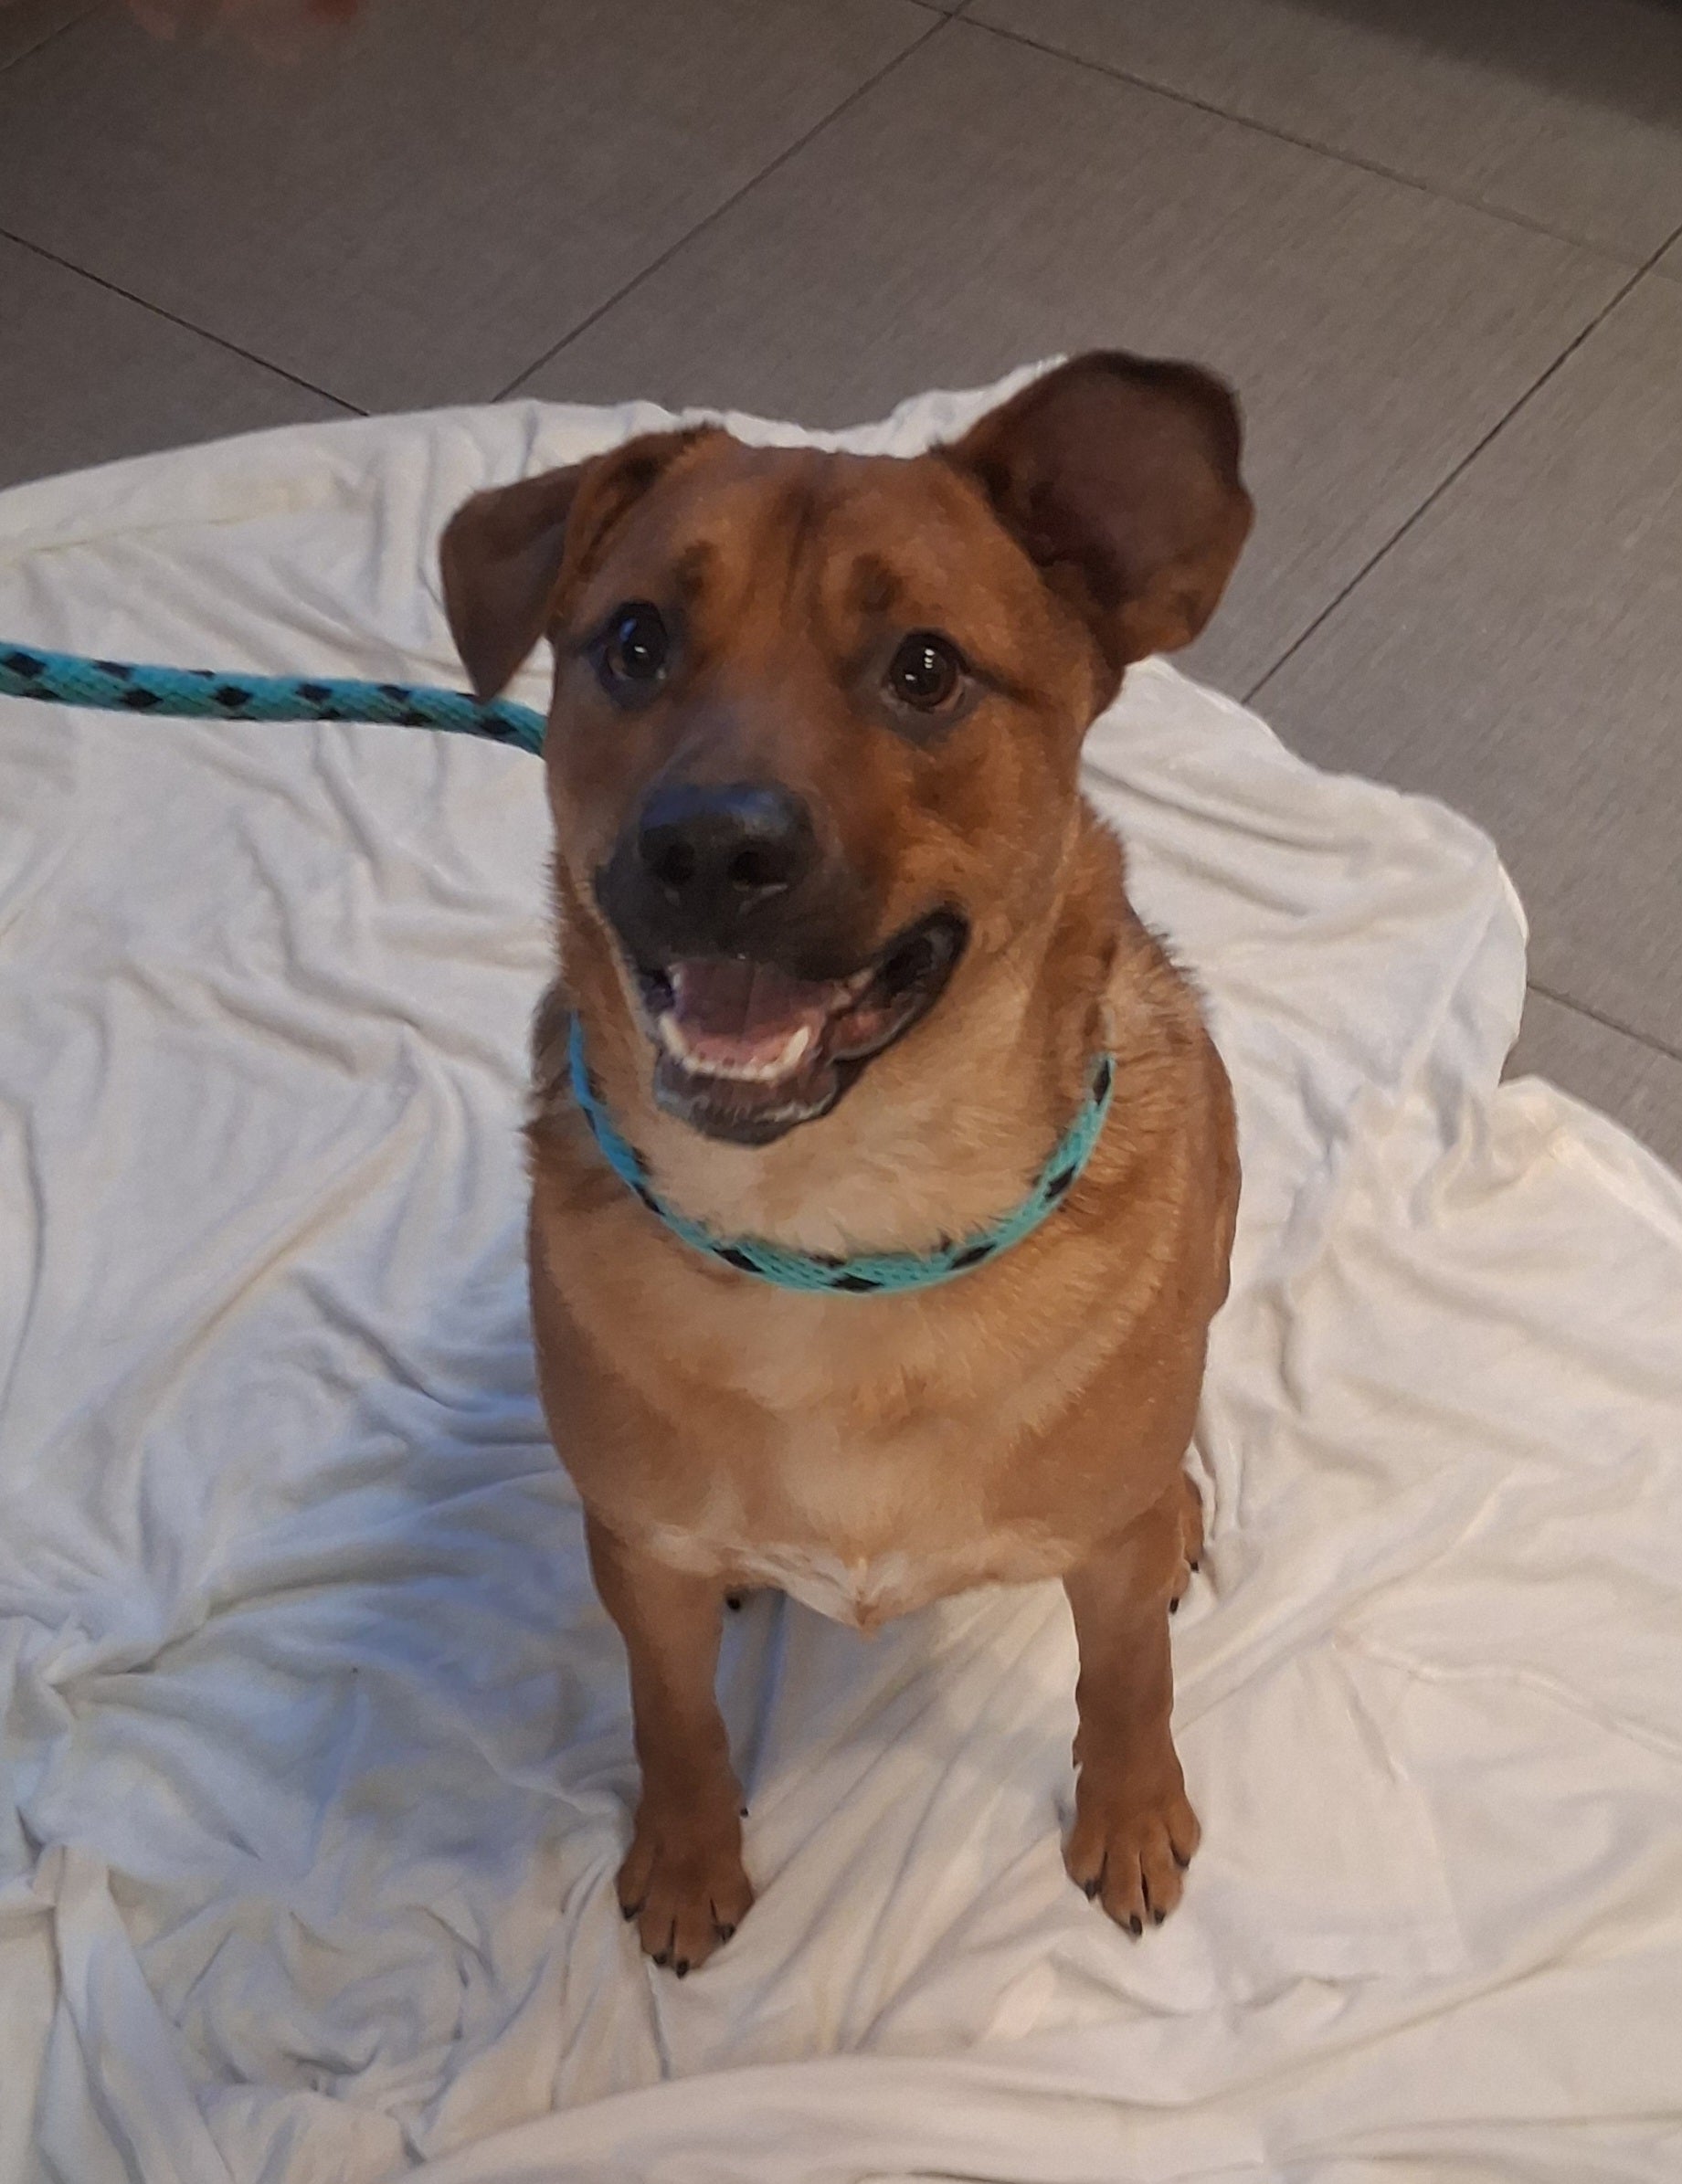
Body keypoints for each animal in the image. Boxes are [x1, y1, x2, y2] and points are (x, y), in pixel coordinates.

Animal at [440, 354, 1250, 1975]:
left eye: (925, 669)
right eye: (634, 640)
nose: (707, 848)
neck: (835, 1235)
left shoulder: (1105, 1570)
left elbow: (1128, 1677)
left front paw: (1131, 1812)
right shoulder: (635, 1549)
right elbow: (670, 1711)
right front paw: (690, 1854)